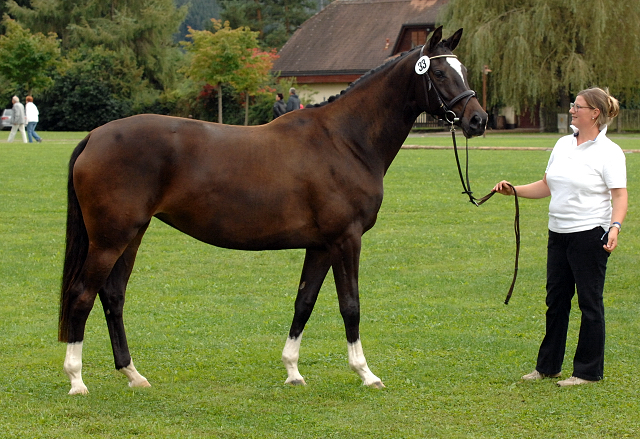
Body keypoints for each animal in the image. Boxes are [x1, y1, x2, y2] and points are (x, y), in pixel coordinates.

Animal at [61, 27, 484, 396]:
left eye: (464, 70)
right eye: (440, 72)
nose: (478, 120)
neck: (344, 141)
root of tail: (94, 136)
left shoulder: (321, 246)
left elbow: (304, 303)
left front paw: (293, 371)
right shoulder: (346, 239)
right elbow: (350, 306)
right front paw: (366, 373)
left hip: (131, 235)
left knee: (113, 296)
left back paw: (133, 374)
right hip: (110, 239)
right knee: (83, 295)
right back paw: (77, 380)